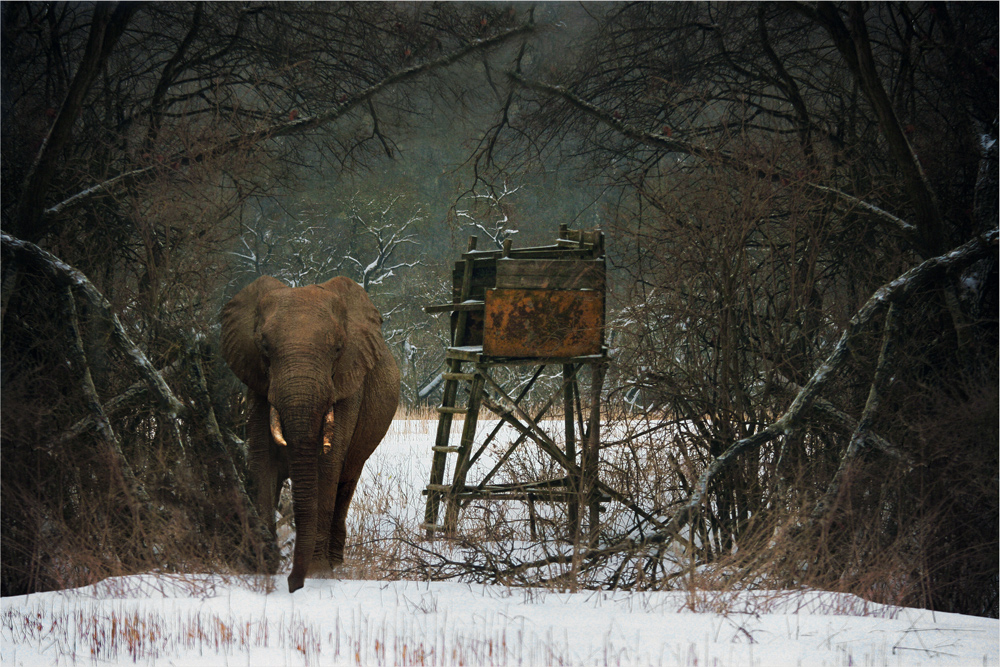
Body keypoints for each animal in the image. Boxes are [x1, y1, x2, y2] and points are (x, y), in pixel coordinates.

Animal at [222, 274, 398, 592]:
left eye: (338, 349)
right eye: (264, 348)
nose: (293, 584)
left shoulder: (348, 384)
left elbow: (327, 467)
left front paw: (318, 574)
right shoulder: (256, 385)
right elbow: (262, 463)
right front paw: (262, 566)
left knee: (345, 481)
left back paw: (335, 563)